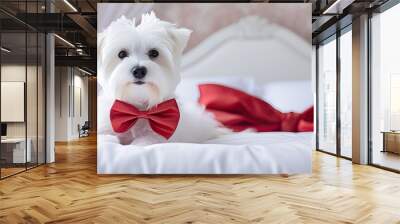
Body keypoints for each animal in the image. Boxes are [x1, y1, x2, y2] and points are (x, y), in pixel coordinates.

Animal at [98, 12, 227, 145]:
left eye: (154, 53)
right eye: (121, 54)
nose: (139, 71)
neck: (139, 109)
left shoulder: (160, 133)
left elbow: (144, 141)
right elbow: (105, 137)